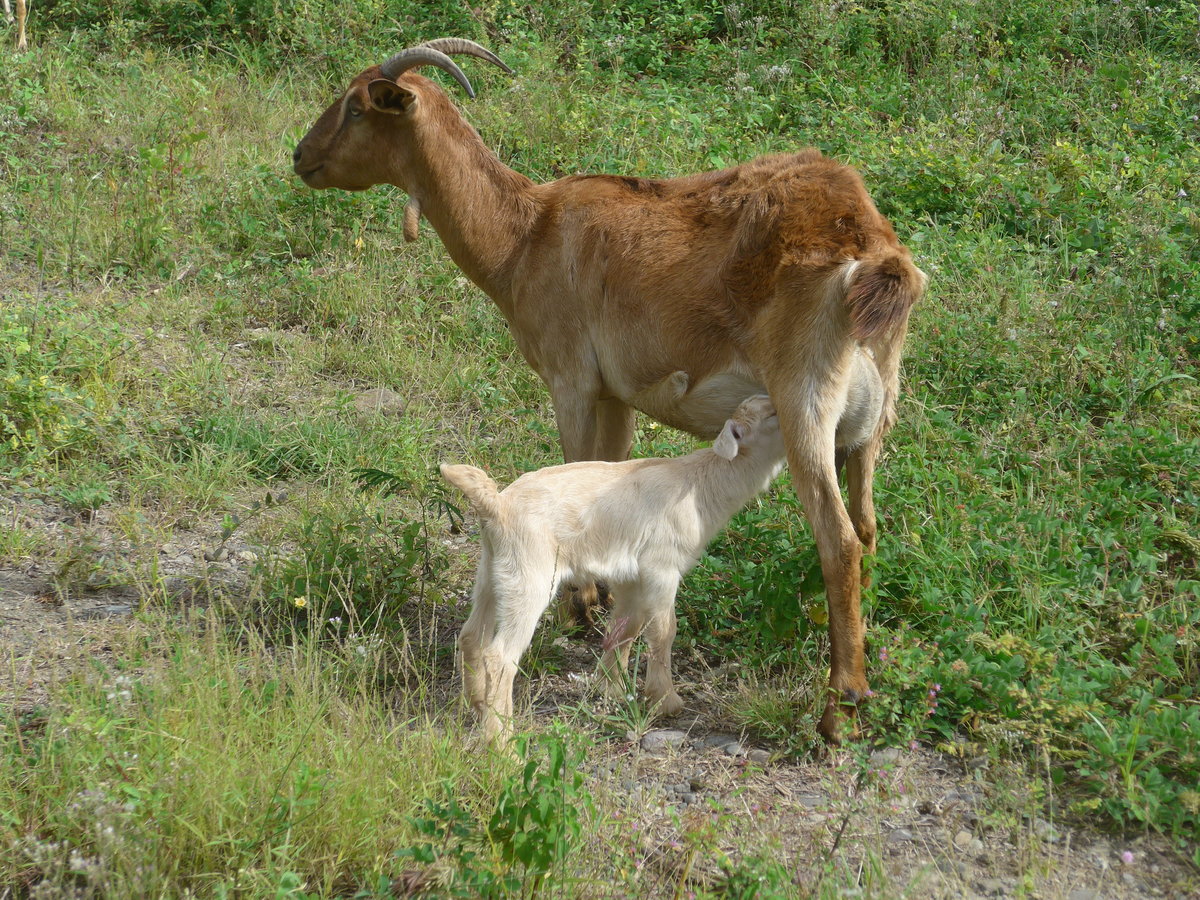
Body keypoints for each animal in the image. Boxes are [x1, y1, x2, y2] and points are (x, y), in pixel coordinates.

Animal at [443, 395, 786, 741]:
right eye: (772, 414)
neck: (702, 483)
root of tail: (496, 505)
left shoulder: (630, 574)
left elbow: (626, 626)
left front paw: (611, 688)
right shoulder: (661, 565)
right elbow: (664, 630)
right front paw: (666, 700)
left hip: (494, 570)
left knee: (472, 635)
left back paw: (476, 707)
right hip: (530, 575)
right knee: (500, 657)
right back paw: (502, 742)